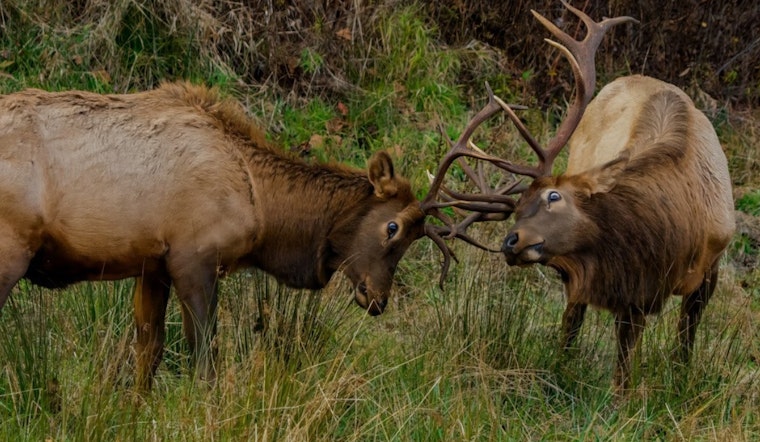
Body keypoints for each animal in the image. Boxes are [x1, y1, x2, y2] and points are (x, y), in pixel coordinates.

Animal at [0, 80, 490, 390]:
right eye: (392, 227)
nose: (378, 299)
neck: (262, 208)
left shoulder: (152, 263)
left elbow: (148, 354)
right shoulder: (194, 257)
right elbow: (205, 362)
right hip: (10, 250)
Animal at [432, 1, 735, 392]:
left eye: (554, 196)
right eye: (517, 211)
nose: (510, 242)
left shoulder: (709, 265)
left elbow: (684, 337)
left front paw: (679, 379)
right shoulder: (632, 290)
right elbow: (623, 362)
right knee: (572, 318)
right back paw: (561, 365)